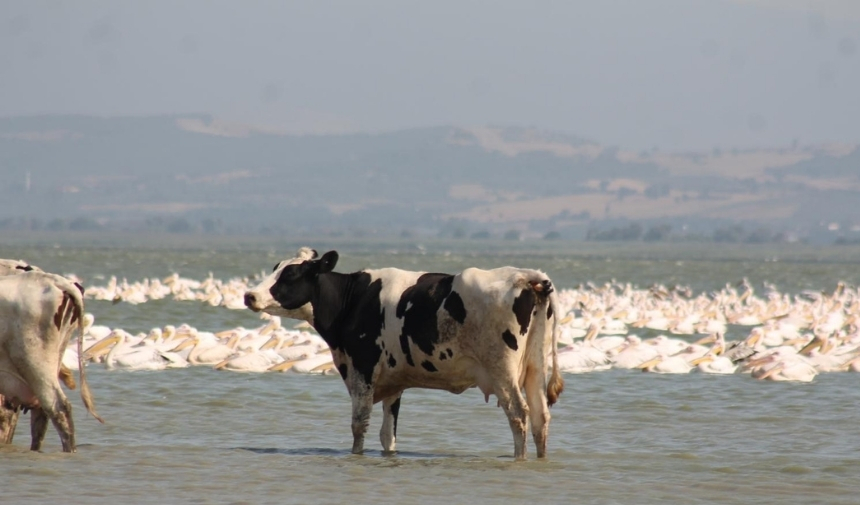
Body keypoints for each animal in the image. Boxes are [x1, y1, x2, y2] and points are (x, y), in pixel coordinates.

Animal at [242, 246, 564, 458]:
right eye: (276, 268)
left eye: (291, 274)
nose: (249, 295)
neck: (354, 300)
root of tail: (527, 276)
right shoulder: (393, 380)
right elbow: (388, 434)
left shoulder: (363, 370)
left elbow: (359, 424)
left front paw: (356, 456)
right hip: (535, 367)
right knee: (541, 417)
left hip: (502, 370)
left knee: (519, 414)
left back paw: (519, 458)